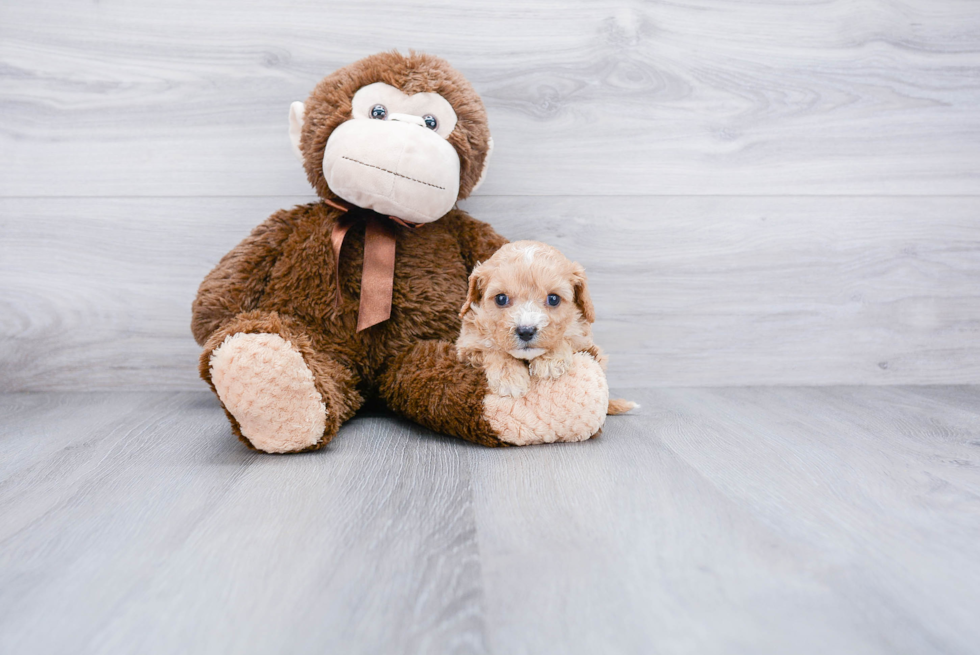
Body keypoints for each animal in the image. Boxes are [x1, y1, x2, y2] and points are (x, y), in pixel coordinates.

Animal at [458, 241, 636, 416]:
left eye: (553, 299)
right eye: (501, 298)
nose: (526, 331)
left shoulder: (585, 342)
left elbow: (565, 338)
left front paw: (550, 360)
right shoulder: (467, 346)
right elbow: (493, 349)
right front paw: (508, 377)